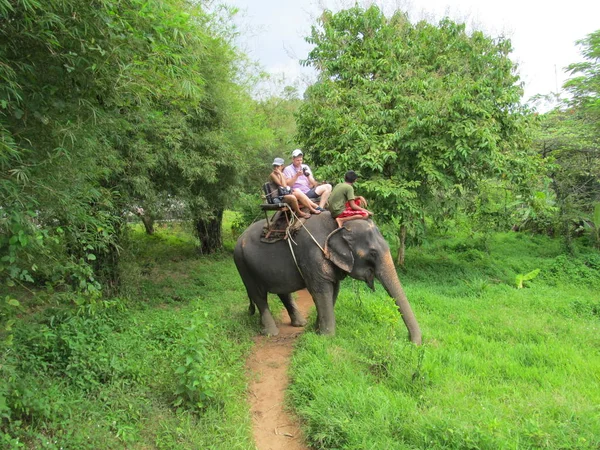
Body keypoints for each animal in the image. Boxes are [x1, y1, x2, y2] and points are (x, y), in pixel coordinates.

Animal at [234, 211, 422, 344]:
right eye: (373, 253)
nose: (412, 342)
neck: (337, 224)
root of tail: (239, 238)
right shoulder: (312, 255)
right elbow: (321, 290)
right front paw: (326, 337)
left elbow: (334, 290)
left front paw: (316, 330)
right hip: (242, 263)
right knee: (258, 294)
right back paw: (270, 332)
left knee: (283, 291)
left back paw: (299, 324)